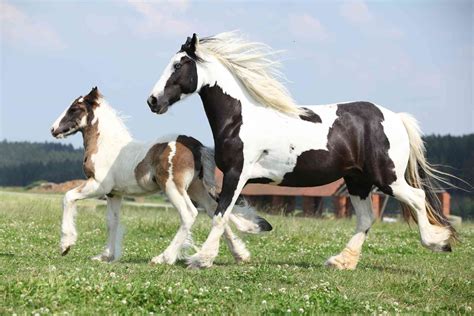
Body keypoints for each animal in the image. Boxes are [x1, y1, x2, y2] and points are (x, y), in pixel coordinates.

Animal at [51, 86, 270, 264]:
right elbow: (112, 222)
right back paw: (238, 255)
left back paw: (164, 257)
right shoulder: (114, 193)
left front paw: (66, 244)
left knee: (189, 214)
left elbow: (68, 197)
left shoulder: (98, 185)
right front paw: (106, 256)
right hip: (196, 188)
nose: (53, 129)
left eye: (74, 108)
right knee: (215, 210)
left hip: (173, 187)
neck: (108, 146)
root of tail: (196, 145)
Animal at [147, 31, 456, 270]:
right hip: (357, 181)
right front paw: (250, 233)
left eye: (178, 65)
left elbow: (220, 214)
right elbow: (220, 212)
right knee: (366, 218)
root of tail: (396, 118)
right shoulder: (234, 178)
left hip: (387, 178)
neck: (240, 118)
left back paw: (438, 242)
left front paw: (201, 259)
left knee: (417, 198)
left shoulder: (237, 174)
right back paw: (341, 261)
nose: (153, 100)